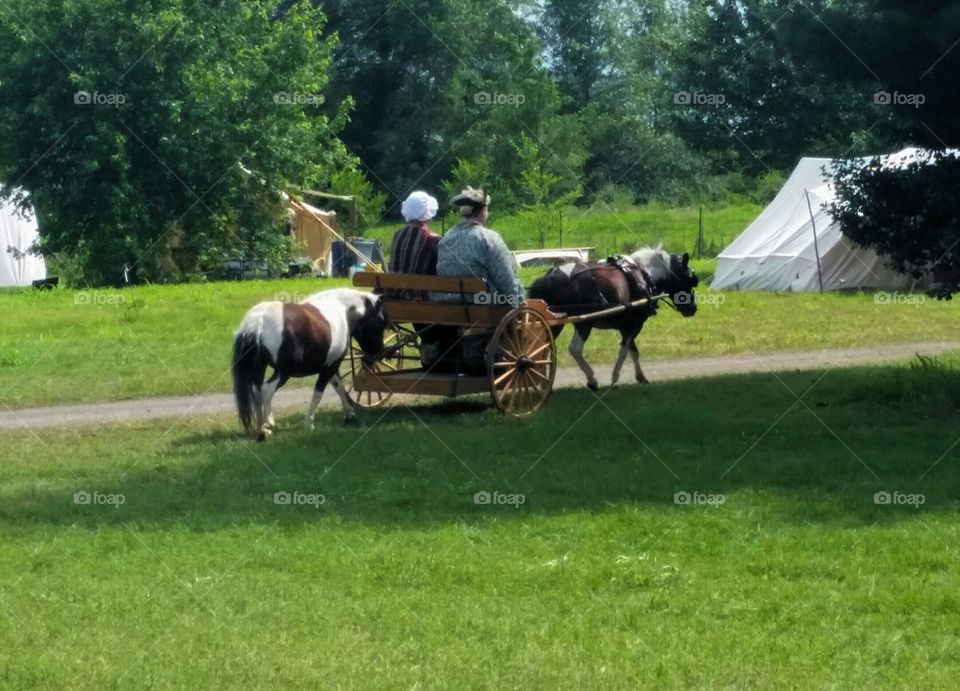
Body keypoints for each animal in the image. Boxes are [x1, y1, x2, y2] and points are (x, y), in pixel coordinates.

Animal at [232, 290, 386, 440]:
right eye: (381, 323)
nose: (378, 351)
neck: (341, 309)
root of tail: (259, 320)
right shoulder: (330, 367)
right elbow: (319, 393)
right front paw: (310, 422)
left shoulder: (329, 367)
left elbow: (339, 388)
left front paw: (350, 415)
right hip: (283, 373)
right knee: (266, 391)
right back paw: (268, 424)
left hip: (260, 367)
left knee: (256, 391)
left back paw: (262, 430)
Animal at [528, 247, 700, 390]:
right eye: (690, 279)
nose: (693, 309)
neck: (643, 276)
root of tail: (549, 278)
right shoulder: (634, 324)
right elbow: (624, 351)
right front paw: (615, 378)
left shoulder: (625, 327)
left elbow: (633, 351)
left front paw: (641, 377)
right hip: (584, 323)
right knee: (574, 349)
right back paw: (591, 379)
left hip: (554, 323)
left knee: (544, 348)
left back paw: (543, 382)